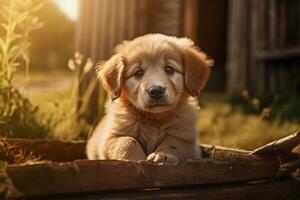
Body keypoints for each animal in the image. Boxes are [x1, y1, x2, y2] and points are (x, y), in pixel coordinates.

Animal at [86, 33, 213, 164]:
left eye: (169, 69)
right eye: (138, 73)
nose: (156, 91)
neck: (154, 119)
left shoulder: (188, 141)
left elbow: (173, 142)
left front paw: (163, 154)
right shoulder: (110, 139)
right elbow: (127, 141)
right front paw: (136, 159)